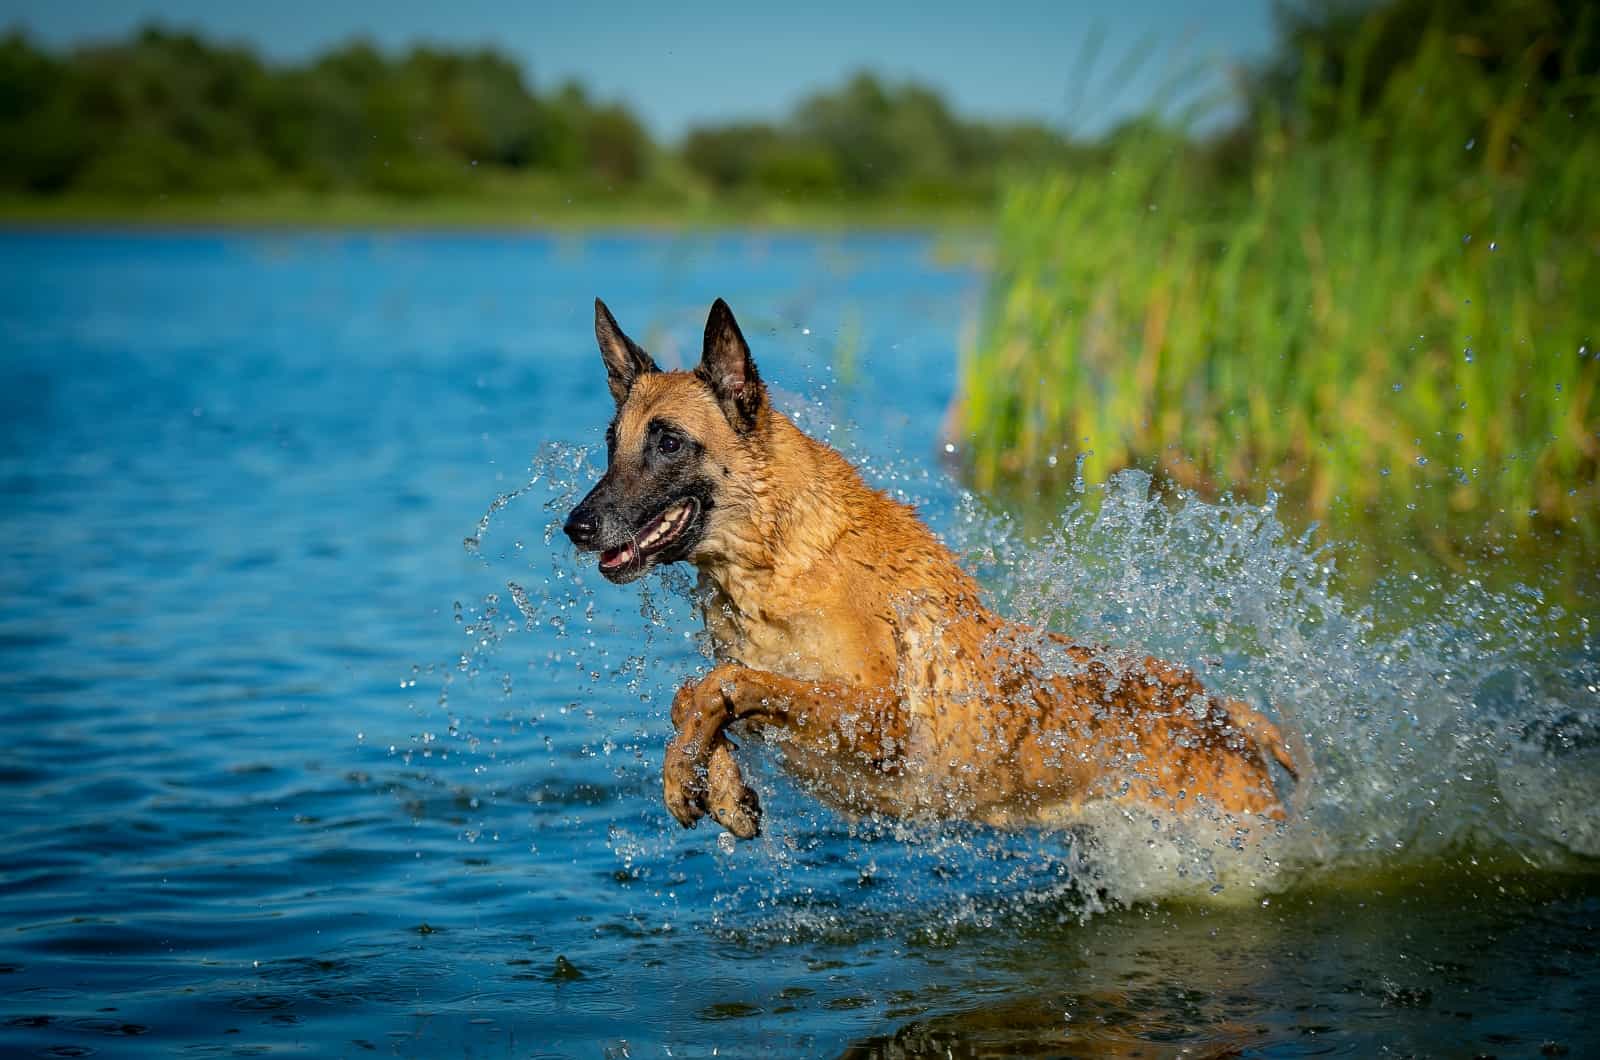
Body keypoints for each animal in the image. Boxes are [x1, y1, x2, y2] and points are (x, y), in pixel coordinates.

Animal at [566, 301, 1299, 845]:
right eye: (610, 443)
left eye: (667, 442)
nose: (575, 527)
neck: (779, 555)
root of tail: (1228, 715)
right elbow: (702, 695)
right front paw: (718, 788)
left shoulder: (883, 723)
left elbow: (722, 684)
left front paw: (689, 775)